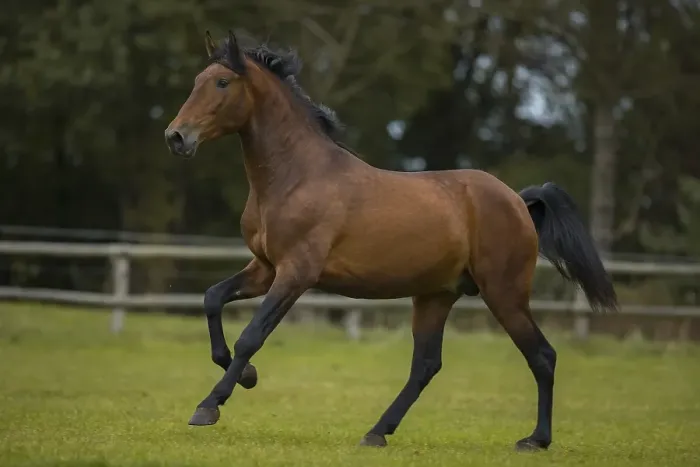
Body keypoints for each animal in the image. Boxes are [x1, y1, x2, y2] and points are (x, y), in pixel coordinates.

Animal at [164, 30, 618, 451]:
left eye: (222, 82)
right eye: (198, 79)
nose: (176, 137)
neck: (296, 177)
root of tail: (519, 202)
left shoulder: (296, 273)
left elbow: (251, 335)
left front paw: (209, 406)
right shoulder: (264, 268)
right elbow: (212, 299)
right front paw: (247, 377)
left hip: (503, 294)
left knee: (542, 356)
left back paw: (535, 439)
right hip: (436, 296)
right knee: (426, 366)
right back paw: (377, 432)